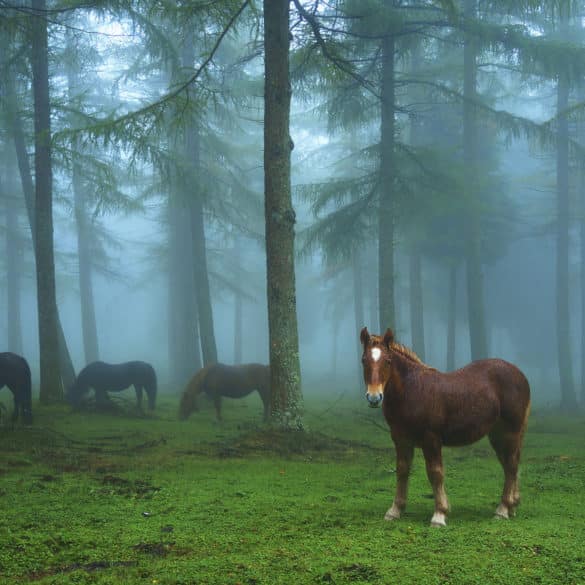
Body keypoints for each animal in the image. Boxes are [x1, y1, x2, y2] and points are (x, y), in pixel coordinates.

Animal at [358, 326, 532, 528]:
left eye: (388, 361)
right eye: (364, 360)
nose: (374, 397)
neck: (412, 391)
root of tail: (520, 374)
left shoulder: (431, 438)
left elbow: (435, 473)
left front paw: (439, 514)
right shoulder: (400, 438)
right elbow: (402, 470)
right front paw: (395, 510)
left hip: (511, 431)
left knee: (511, 465)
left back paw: (503, 509)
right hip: (497, 434)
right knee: (509, 464)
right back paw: (512, 506)